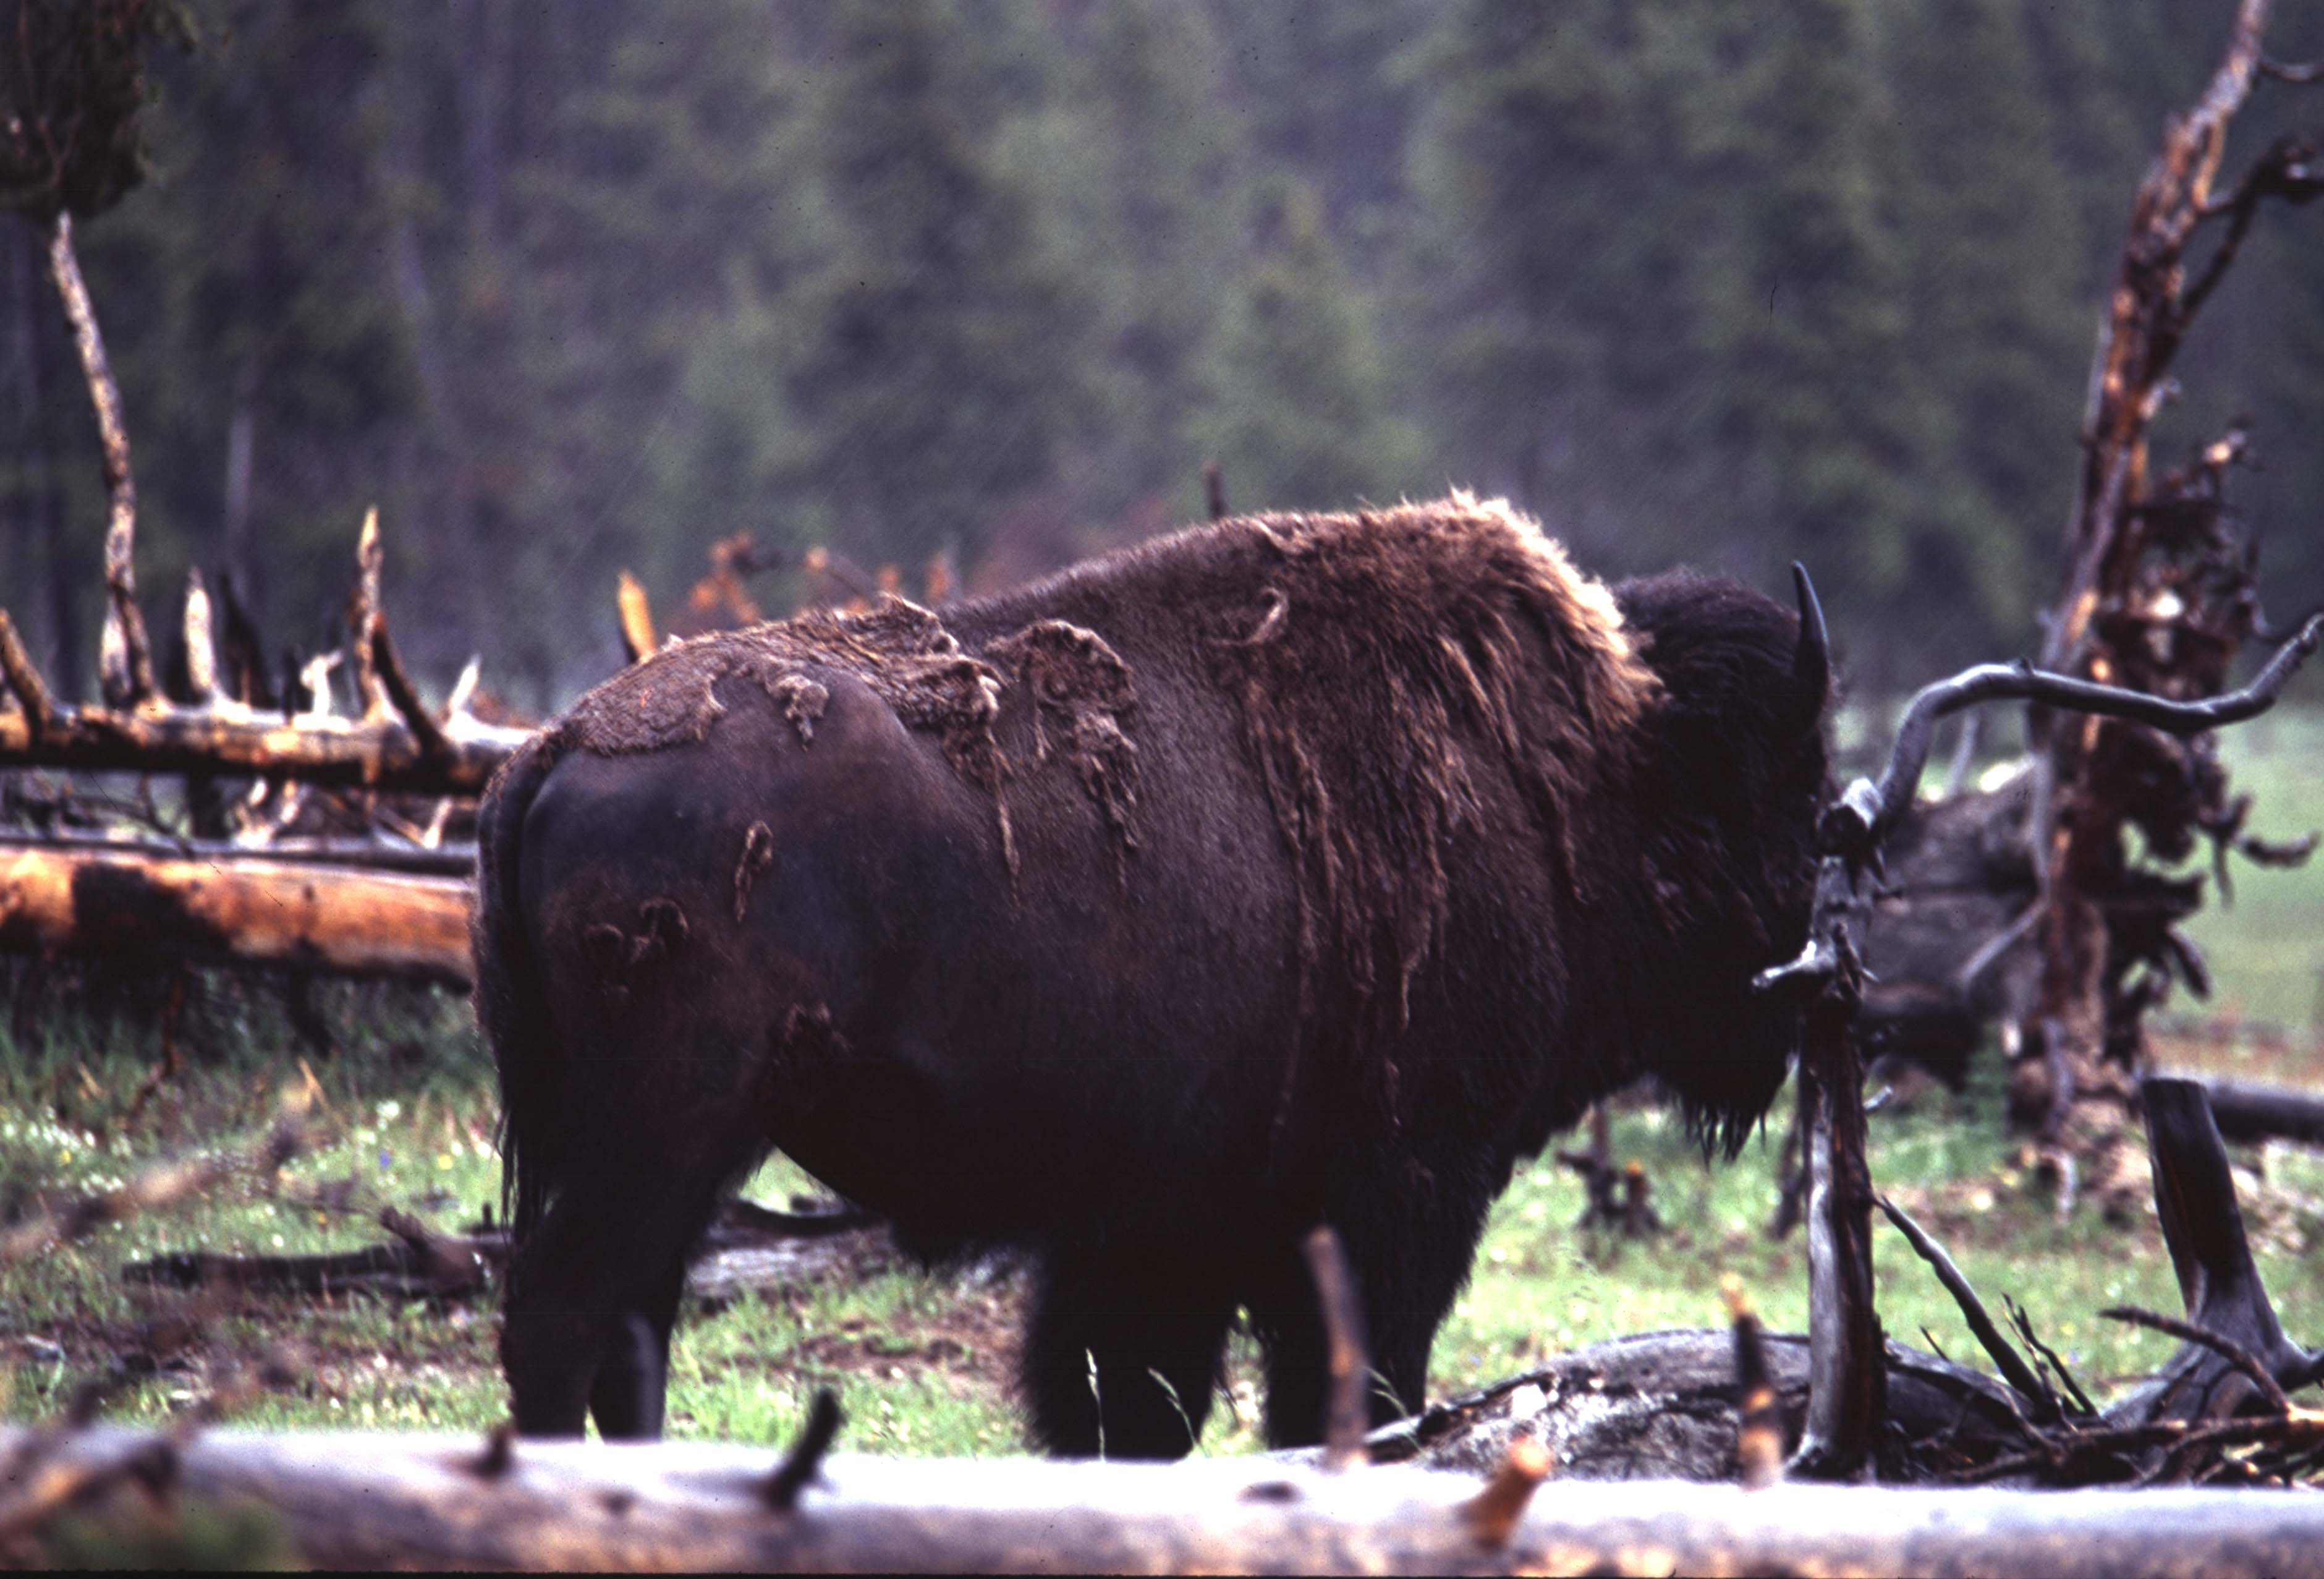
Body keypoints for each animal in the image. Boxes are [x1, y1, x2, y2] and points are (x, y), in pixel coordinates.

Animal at [474, 494, 1831, 1455]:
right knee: (566, 1309)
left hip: (661, 1141)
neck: (1579, 778)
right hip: (669, 1125)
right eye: (1790, 794)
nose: (1814, 980)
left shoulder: (1159, 1222)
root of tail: (552, 744)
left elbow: (1130, 1407)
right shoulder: (1402, 1188)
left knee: (629, 1325)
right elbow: (1338, 1388)